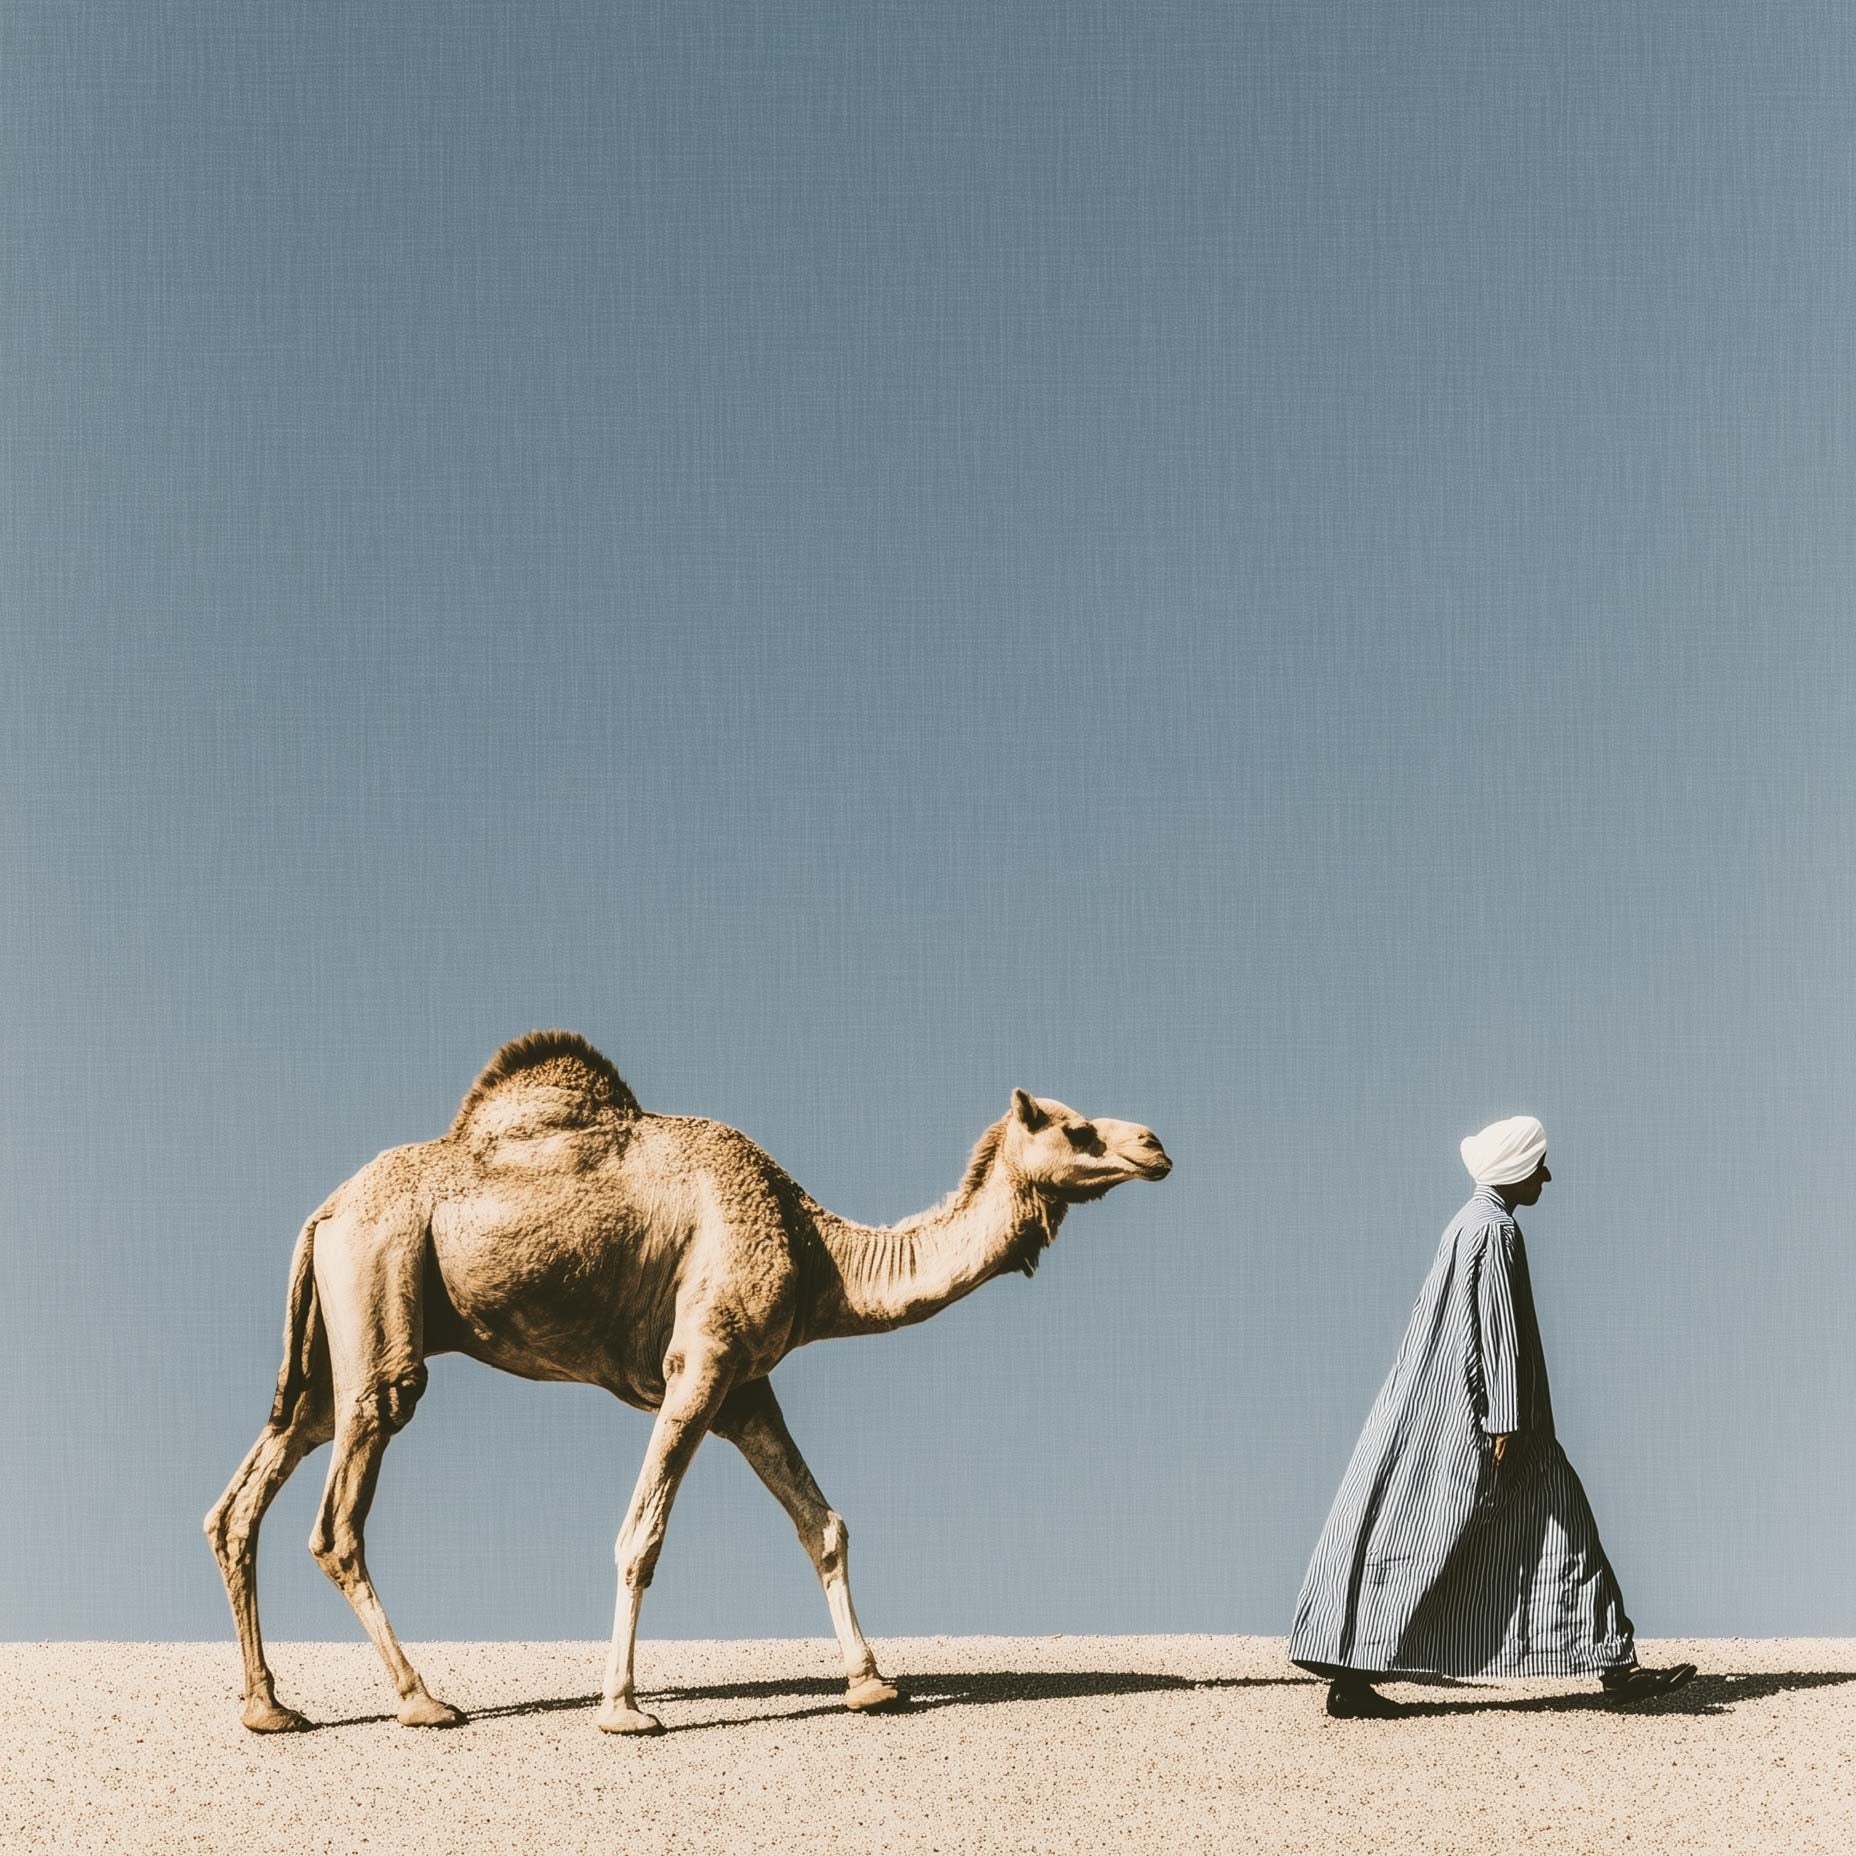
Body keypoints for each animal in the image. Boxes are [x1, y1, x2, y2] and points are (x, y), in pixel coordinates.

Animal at [205, 1030, 1171, 1735]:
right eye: (1072, 1127)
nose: (1155, 1143)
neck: (817, 1250)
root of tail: (324, 1211)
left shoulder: (746, 1386)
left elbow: (823, 1523)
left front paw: (871, 1684)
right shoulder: (699, 1361)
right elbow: (643, 1535)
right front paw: (624, 1709)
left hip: (329, 1350)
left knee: (247, 1495)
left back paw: (270, 1707)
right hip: (382, 1298)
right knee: (340, 1515)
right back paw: (422, 1700)